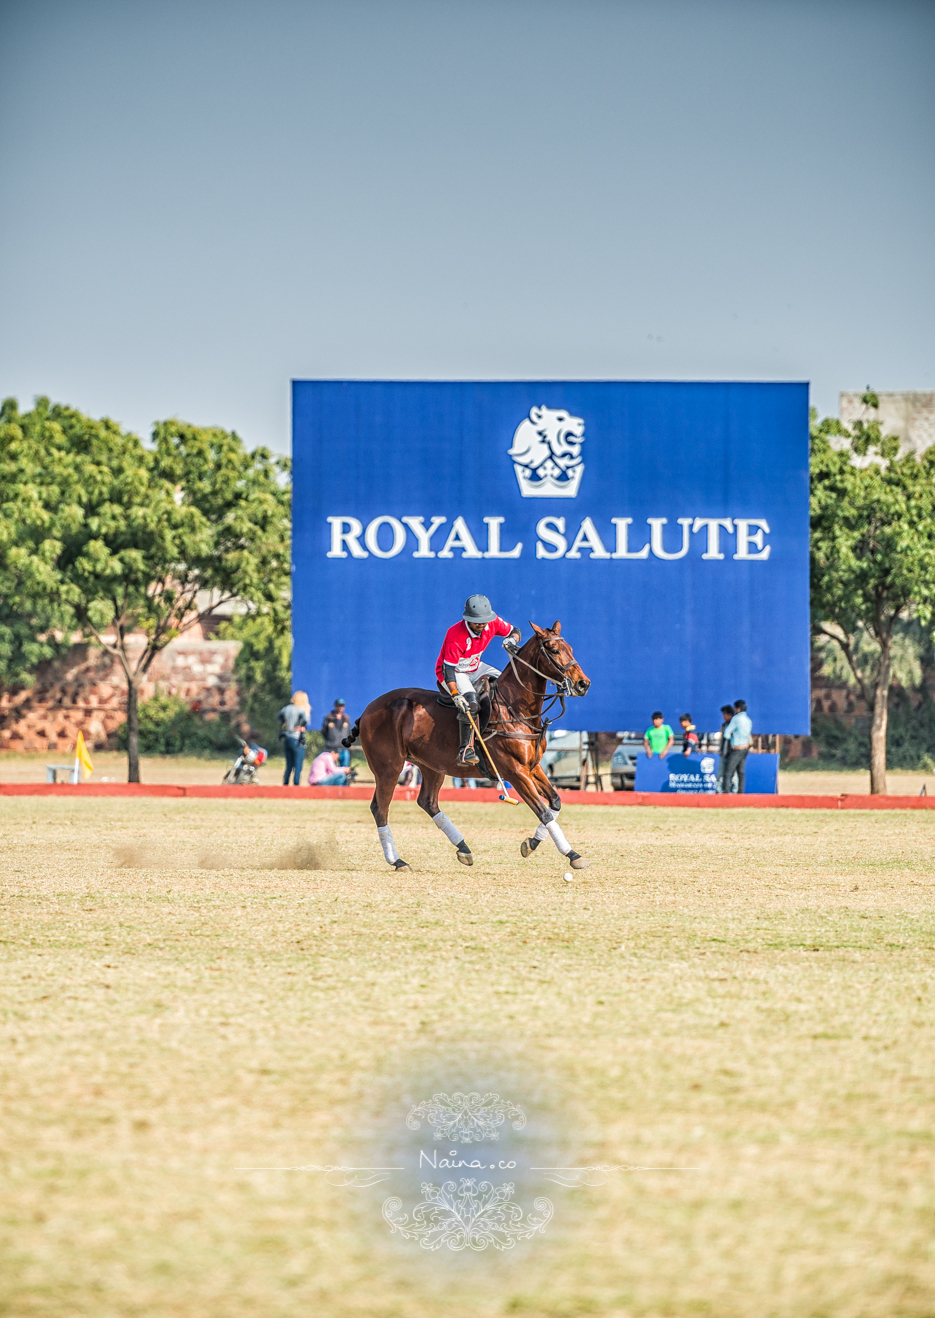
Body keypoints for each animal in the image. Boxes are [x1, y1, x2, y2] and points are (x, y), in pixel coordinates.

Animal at [342, 619, 590, 869]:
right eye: (554, 650)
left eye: (570, 648)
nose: (583, 684)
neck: (516, 708)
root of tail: (367, 710)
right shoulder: (515, 772)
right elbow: (543, 811)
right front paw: (573, 854)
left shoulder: (532, 767)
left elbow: (555, 801)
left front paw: (532, 843)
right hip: (389, 767)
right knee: (380, 807)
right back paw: (397, 860)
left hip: (431, 766)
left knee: (428, 802)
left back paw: (463, 848)